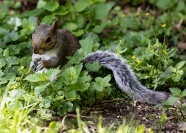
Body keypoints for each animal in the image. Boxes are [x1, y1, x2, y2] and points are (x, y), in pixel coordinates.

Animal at [30, 19, 169, 105]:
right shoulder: (36, 55)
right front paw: (33, 63)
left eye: (48, 39)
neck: (45, 54)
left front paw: (44, 63)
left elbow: (55, 63)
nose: (35, 49)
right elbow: (33, 59)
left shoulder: (60, 52)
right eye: (32, 35)